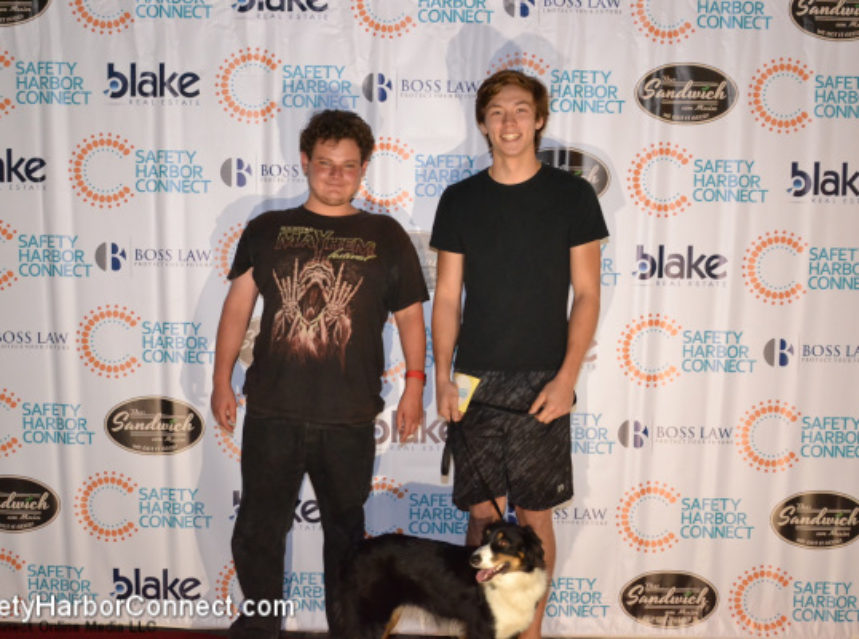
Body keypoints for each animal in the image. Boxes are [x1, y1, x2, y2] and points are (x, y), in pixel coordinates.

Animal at [331, 520, 547, 639]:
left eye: (503, 542)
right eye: (485, 539)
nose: (473, 559)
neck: (512, 581)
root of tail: (357, 549)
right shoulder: (482, 629)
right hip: (373, 618)